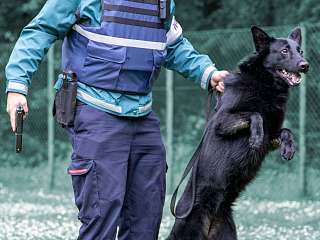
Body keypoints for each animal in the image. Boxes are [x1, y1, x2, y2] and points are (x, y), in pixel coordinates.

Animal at [168, 26, 310, 240]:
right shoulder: (220, 122)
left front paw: (289, 147)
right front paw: (256, 137)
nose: (305, 65)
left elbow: (285, 130)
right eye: (284, 51)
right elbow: (255, 114)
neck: (264, 84)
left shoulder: (272, 136)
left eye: (299, 50)